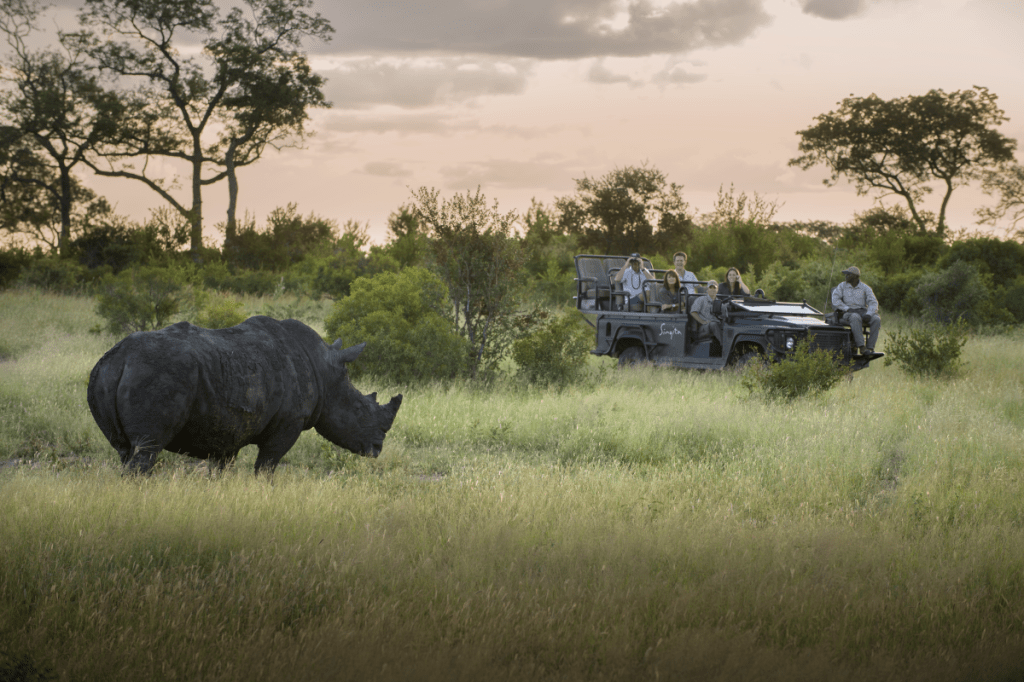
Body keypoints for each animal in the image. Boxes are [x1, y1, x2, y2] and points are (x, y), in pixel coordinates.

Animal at [88, 315, 401, 471]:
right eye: (359, 410)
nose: (377, 448)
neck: (325, 371)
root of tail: (121, 357)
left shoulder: (226, 430)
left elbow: (221, 469)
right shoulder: (290, 421)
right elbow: (267, 466)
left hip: (104, 374)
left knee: (126, 450)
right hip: (157, 373)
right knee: (147, 450)